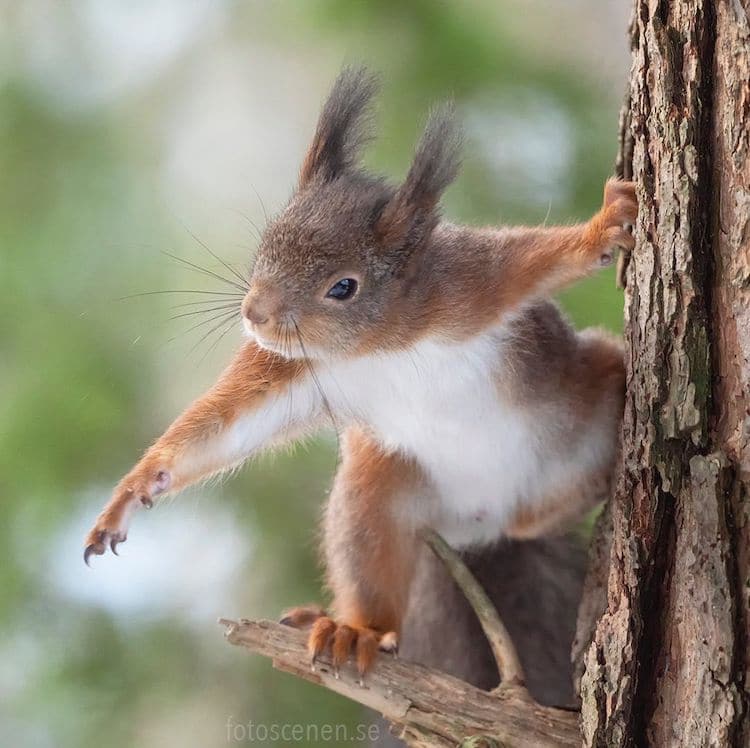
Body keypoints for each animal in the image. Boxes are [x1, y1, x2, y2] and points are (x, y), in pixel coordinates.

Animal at [84, 67, 635, 678]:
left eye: (343, 287)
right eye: (267, 242)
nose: (255, 314)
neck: (378, 345)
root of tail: (481, 525)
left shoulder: (469, 287)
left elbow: (536, 259)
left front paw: (603, 228)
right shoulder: (290, 366)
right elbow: (222, 427)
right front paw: (135, 490)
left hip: (584, 403)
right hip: (375, 493)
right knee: (375, 566)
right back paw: (355, 630)